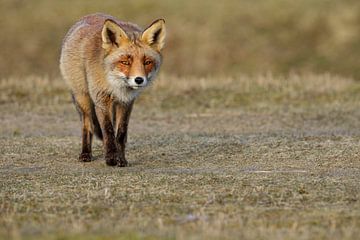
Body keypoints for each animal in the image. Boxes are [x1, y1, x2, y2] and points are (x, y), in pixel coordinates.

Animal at [60, 13, 166, 167]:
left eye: (147, 62)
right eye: (125, 62)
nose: (139, 80)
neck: (118, 87)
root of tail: (90, 15)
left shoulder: (126, 103)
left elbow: (120, 133)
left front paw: (121, 159)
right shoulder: (101, 100)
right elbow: (108, 131)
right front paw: (111, 158)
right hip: (83, 98)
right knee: (87, 125)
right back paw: (86, 154)